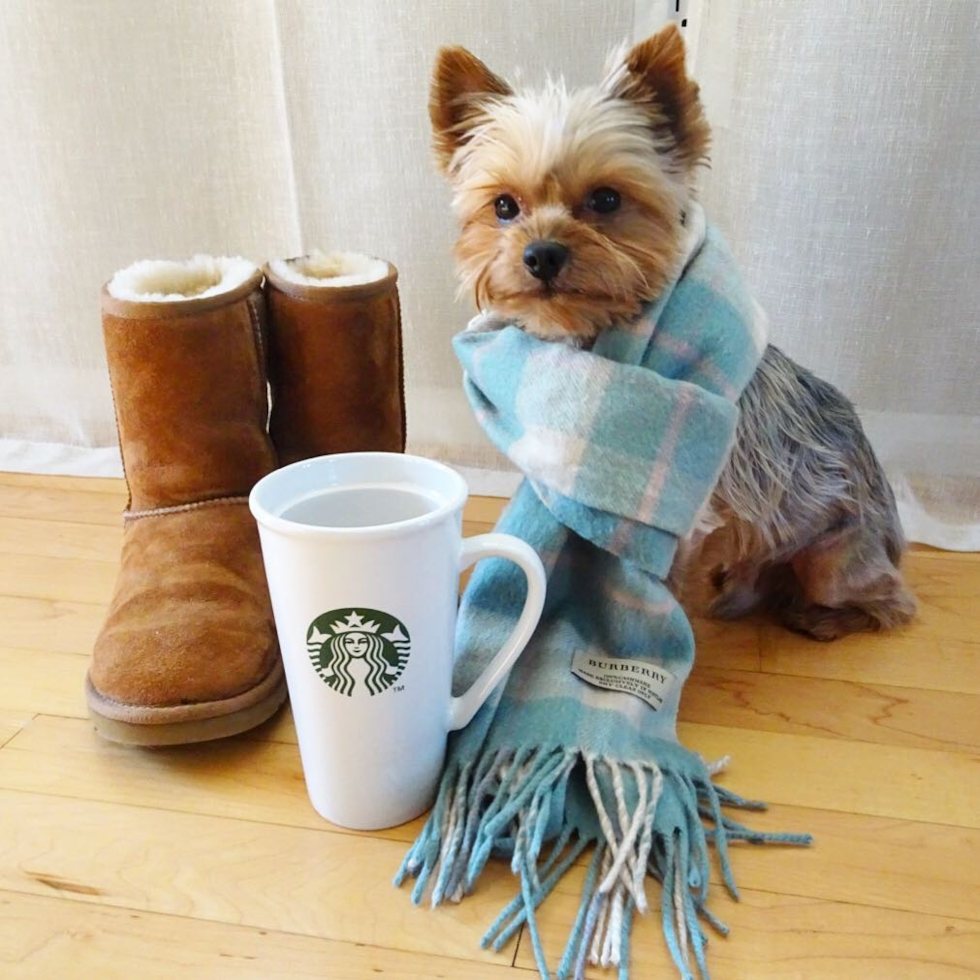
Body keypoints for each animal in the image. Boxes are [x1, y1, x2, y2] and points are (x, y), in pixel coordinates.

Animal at [432, 26, 916, 640]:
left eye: (607, 199)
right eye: (503, 206)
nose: (541, 255)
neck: (592, 336)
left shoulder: (685, 519)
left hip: (834, 556)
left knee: (893, 601)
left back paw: (821, 617)